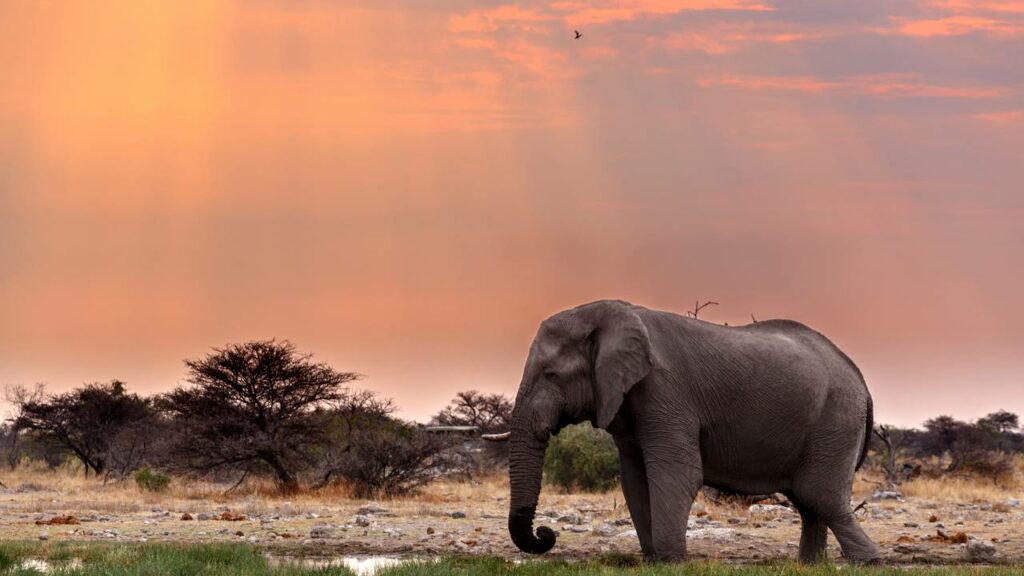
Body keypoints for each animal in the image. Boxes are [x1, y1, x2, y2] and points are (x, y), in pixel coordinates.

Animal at [493, 299, 880, 564]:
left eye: (551, 375)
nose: (546, 534)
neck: (608, 316)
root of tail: (860, 379)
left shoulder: (665, 389)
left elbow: (676, 471)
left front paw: (669, 560)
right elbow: (635, 478)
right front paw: (652, 559)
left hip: (835, 419)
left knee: (820, 495)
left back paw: (868, 561)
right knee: (809, 501)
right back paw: (810, 564)